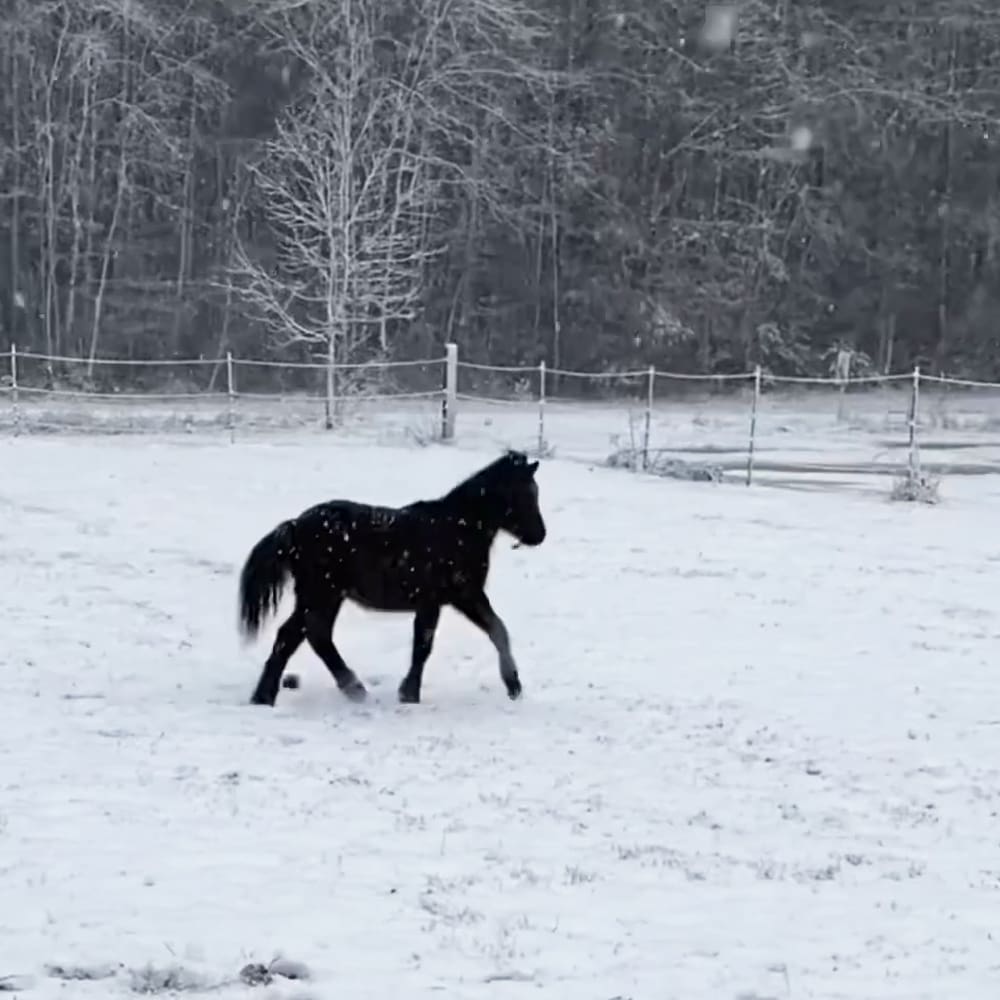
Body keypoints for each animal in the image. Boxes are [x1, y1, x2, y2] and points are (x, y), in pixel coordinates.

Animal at [237, 449, 547, 706]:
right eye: (525, 494)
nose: (540, 535)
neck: (458, 529)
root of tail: (294, 525)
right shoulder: (445, 598)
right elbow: (424, 645)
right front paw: (409, 693)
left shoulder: (460, 598)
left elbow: (497, 630)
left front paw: (514, 686)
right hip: (321, 594)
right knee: (309, 635)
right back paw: (345, 689)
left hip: (322, 597)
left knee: (298, 636)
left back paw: (270, 696)